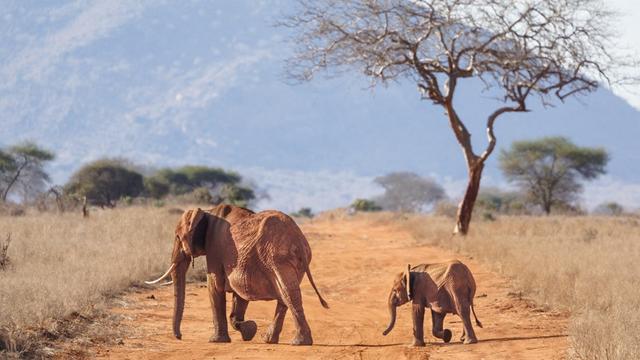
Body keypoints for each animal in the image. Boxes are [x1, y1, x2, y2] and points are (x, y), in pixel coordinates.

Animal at [147, 204, 328, 344]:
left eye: (178, 237)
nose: (179, 337)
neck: (206, 211)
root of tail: (298, 238)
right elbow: (240, 294)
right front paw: (249, 331)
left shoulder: (214, 249)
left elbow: (215, 287)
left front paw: (216, 341)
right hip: (292, 260)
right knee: (286, 295)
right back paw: (269, 340)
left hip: (277, 257)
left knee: (288, 293)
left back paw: (299, 342)